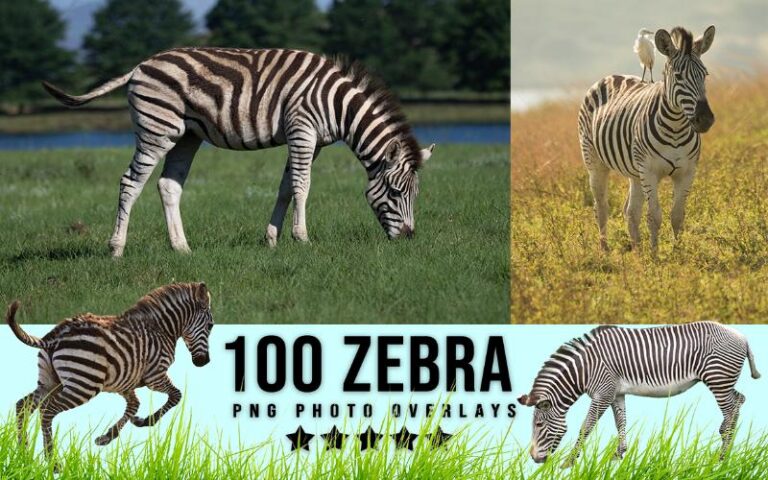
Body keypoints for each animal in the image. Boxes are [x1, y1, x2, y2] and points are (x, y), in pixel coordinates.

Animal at [7, 282, 213, 466]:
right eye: (211, 326)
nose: (204, 362)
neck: (161, 329)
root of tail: (54, 336)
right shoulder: (155, 375)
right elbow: (176, 395)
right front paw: (148, 421)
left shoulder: (125, 381)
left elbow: (134, 406)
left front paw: (110, 435)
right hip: (83, 385)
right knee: (47, 411)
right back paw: (52, 462)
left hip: (50, 381)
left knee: (23, 406)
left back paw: (23, 454)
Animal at [42, 48, 435, 256]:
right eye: (396, 192)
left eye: (416, 194)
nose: (409, 238)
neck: (337, 105)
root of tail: (140, 66)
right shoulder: (302, 130)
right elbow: (302, 186)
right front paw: (302, 238)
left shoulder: (311, 141)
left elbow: (286, 187)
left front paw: (272, 239)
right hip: (157, 130)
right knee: (129, 183)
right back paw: (116, 249)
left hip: (186, 135)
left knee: (168, 186)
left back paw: (182, 248)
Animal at [517, 322, 761, 467]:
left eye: (538, 425)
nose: (534, 459)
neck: (585, 368)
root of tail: (742, 337)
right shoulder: (616, 393)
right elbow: (621, 422)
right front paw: (619, 454)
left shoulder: (602, 393)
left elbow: (586, 426)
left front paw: (568, 462)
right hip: (722, 380)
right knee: (739, 400)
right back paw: (726, 445)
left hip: (717, 378)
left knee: (730, 409)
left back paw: (722, 456)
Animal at [578, 26, 716, 252]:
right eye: (678, 76)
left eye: (705, 74)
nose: (705, 119)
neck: (676, 127)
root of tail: (610, 76)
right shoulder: (650, 172)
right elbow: (654, 217)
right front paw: (655, 255)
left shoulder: (687, 172)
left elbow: (677, 216)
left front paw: (677, 252)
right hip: (595, 162)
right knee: (601, 208)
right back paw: (605, 250)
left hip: (635, 172)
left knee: (630, 211)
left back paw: (636, 251)